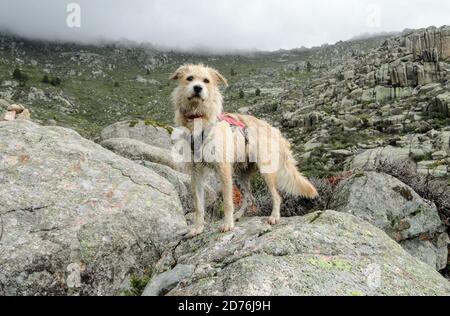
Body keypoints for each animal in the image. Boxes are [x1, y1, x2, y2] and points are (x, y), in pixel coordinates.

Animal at [171, 63, 318, 237]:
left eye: (206, 80)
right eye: (190, 78)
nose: (198, 88)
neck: (198, 120)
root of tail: (275, 131)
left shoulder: (223, 168)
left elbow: (228, 201)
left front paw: (228, 224)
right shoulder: (196, 173)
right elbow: (199, 206)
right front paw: (198, 228)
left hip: (266, 171)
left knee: (276, 196)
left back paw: (274, 217)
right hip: (241, 174)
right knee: (249, 197)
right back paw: (239, 215)